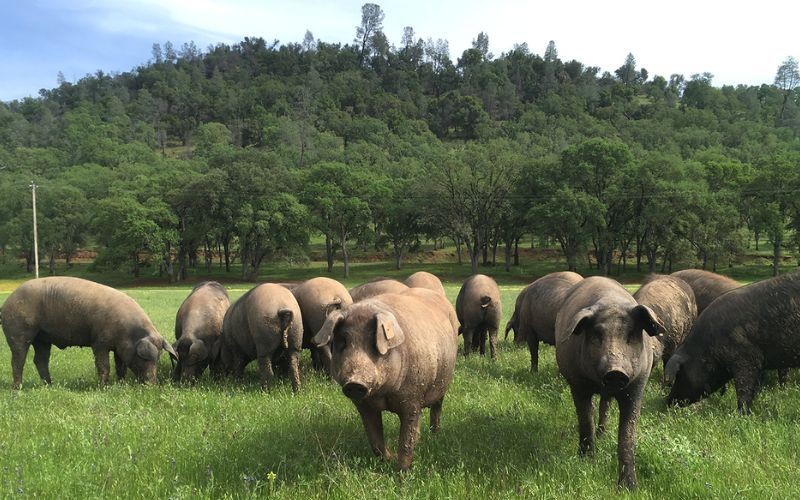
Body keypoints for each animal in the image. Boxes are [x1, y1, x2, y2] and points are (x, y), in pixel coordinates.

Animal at [0, 278, 178, 386]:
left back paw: (50, 385)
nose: (152, 384)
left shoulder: (119, 348)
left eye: (158, 358)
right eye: (145, 358)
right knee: (18, 359)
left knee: (40, 360)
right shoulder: (99, 342)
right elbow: (104, 365)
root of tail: (6, 304)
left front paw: (121, 384)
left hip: (42, 338)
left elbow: (120, 366)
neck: (128, 332)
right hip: (19, 331)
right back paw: (18, 388)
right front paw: (104, 387)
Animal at [314, 292, 460, 470]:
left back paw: (435, 436)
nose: (354, 383)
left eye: (373, 342)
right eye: (343, 342)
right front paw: (388, 460)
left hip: (443, 383)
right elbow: (374, 438)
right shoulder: (364, 405)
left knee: (437, 408)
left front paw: (402, 471)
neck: (384, 394)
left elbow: (405, 439)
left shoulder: (412, 398)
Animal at [556, 276, 664, 490]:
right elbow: (585, 421)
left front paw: (630, 488)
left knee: (604, 406)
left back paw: (603, 434)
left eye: (631, 334)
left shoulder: (637, 386)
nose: (615, 370)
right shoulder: (577, 384)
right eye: (597, 334)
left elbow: (628, 435)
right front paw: (587, 462)